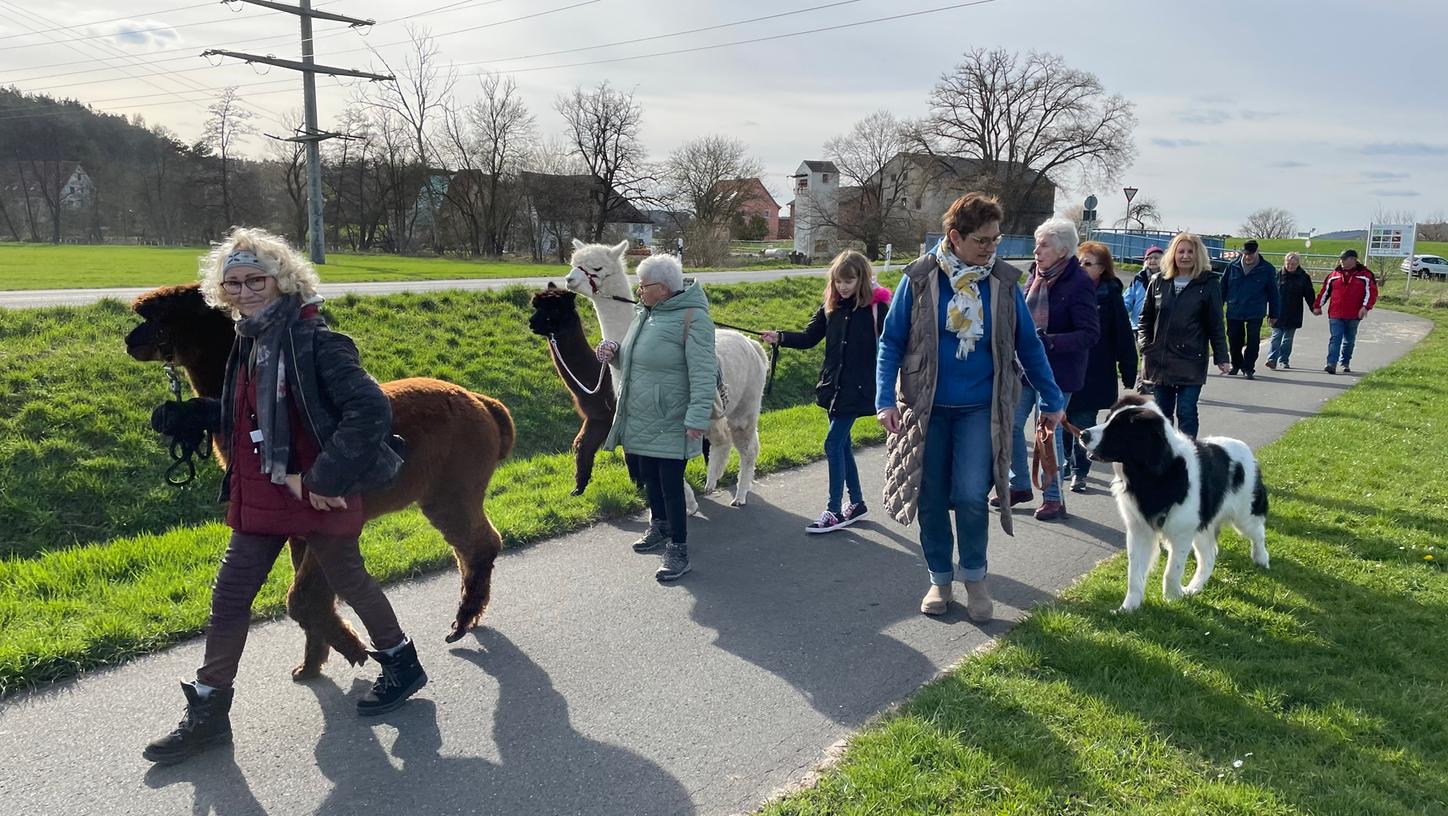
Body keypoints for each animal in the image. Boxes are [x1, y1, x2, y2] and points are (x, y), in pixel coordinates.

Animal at [1077, 396, 1268, 613]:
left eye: (1118, 428)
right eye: (1107, 419)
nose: (1083, 434)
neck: (1151, 475)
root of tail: (1245, 449)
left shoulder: (1182, 532)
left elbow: (1172, 570)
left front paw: (1172, 598)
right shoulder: (1138, 530)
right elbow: (1134, 573)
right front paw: (1128, 608)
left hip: (1244, 515)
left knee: (1258, 533)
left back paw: (1261, 559)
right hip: (1203, 526)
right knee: (1209, 556)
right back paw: (1194, 588)